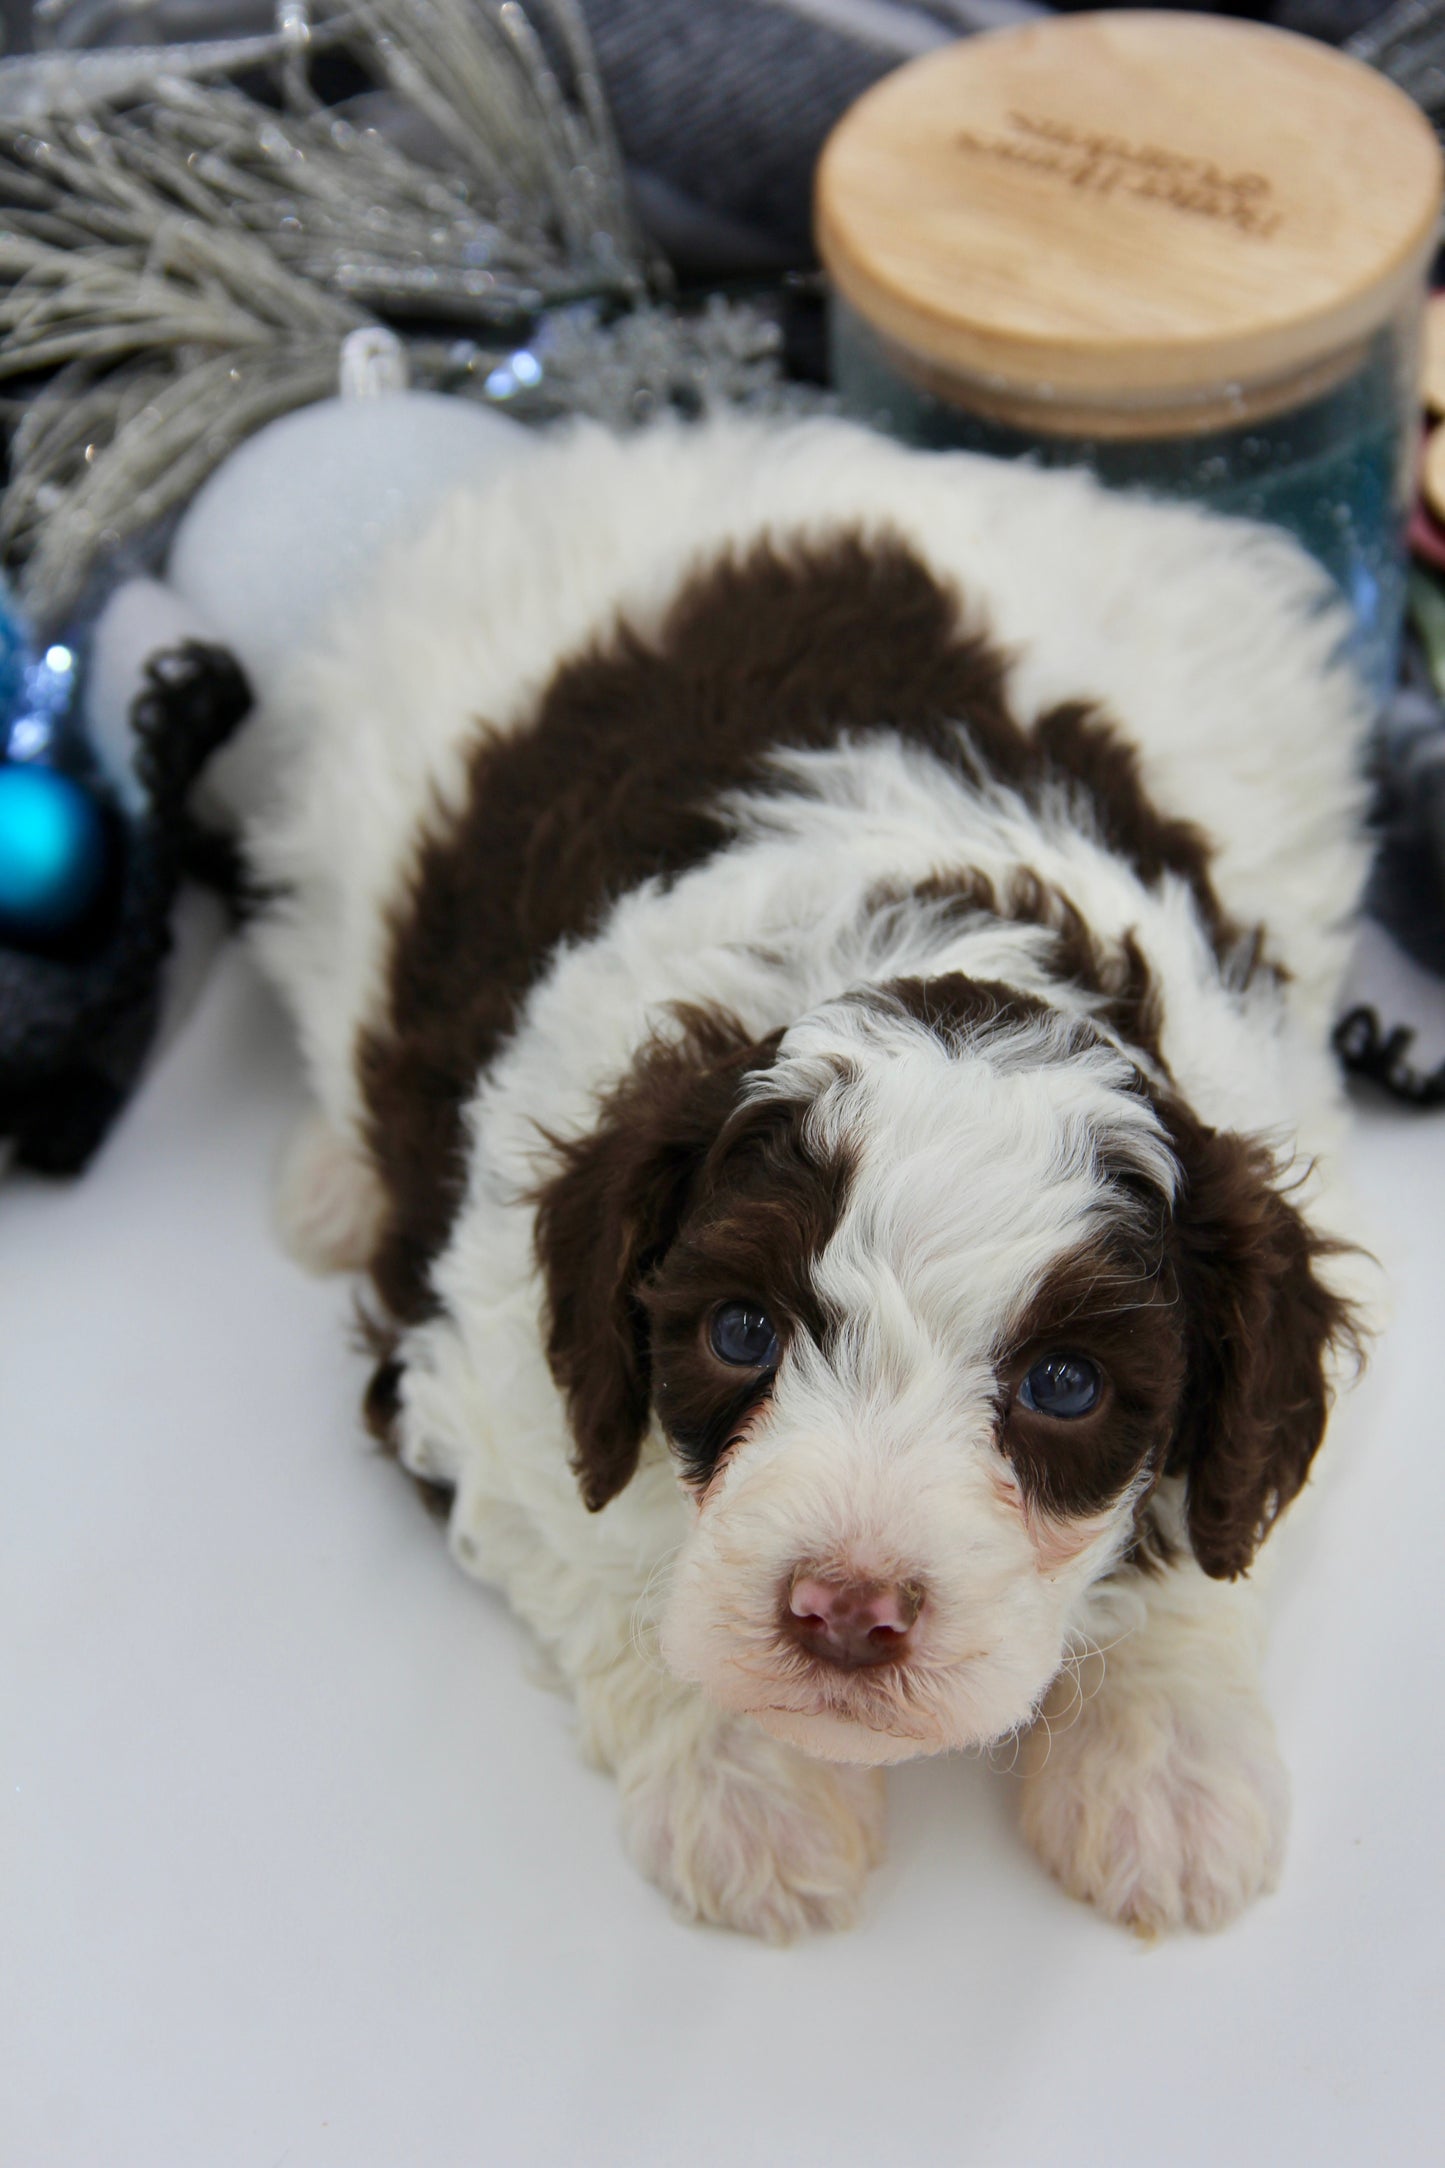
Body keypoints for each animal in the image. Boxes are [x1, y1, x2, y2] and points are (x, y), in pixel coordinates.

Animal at [237, 414, 1369, 1942]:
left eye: (1063, 1384)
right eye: (738, 1331)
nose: (843, 1612)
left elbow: (1215, 1533)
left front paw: (1162, 1775)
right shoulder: (485, 1358)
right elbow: (604, 1540)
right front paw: (749, 1796)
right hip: (339, 827)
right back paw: (330, 1184)